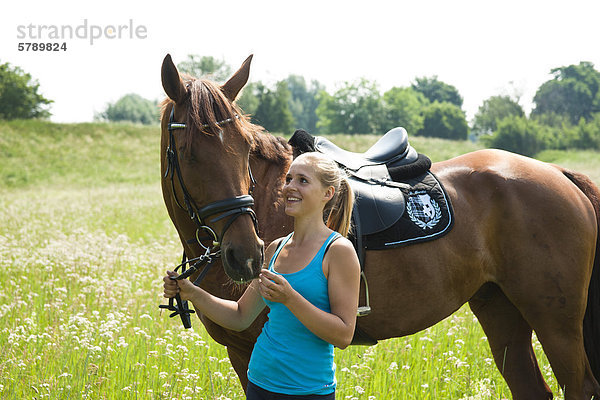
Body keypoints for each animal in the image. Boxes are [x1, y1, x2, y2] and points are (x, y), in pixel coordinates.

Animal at [159, 54, 600, 400]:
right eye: (189, 152)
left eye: (244, 148)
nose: (248, 257)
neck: (272, 203)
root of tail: (557, 173)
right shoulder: (241, 351)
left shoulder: (256, 349)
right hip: (501, 310)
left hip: (556, 323)